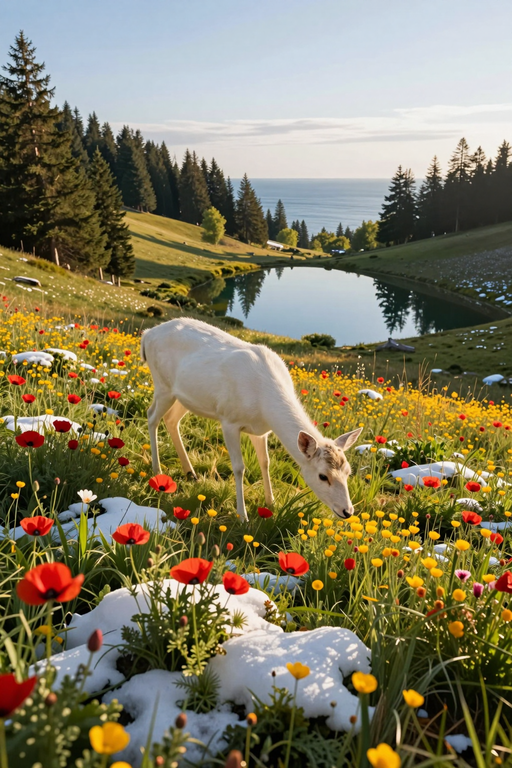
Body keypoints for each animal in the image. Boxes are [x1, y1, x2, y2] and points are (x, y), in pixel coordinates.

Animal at [141, 318, 362, 522]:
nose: (347, 512)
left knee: (171, 420)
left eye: (348, 472)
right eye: (323, 476)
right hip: (162, 385)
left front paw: (271, 502)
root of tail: (147, 334)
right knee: (151, 416)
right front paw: (242, 516)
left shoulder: (261, 431)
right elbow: (239, 467)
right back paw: (157, 470)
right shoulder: (228, 420)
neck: (263, 405)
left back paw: (190, 473)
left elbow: (265, 462)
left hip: (185, 397)